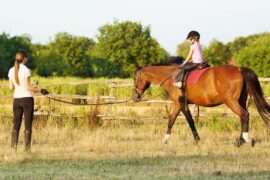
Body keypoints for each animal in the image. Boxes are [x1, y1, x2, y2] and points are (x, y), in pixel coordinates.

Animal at [132, 64, 270, 146]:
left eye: (135, 79)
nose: (134, 97)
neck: (172, 78)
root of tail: (239, 69)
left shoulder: (182, 103)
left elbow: (190, 120)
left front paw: (197, 139)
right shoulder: (177, 104)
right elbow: (171, 120)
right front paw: (165, 140)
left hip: (231, 101)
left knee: (244, 115)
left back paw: (244, 140)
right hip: (240, 100)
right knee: (243, 117)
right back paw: (241, 140)